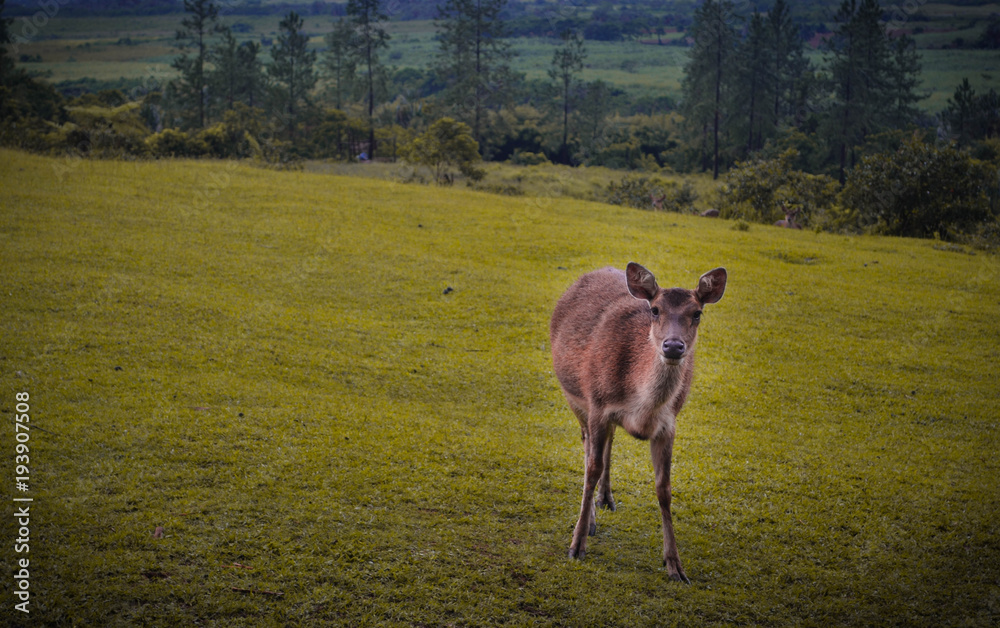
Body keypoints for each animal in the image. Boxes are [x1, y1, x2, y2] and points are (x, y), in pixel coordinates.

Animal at [550, 262, 727, 583]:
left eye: (697, 313)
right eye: (655, 310)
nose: (673, 346)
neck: (641, 406)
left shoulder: (668, 424)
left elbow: (664, 488)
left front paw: (675, 566)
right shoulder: (598, 406)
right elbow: (591, 469)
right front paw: (576, 546)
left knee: (609, 442)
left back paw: (606, 499)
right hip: (574, 397)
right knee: (587, 446)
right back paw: (591, 518)